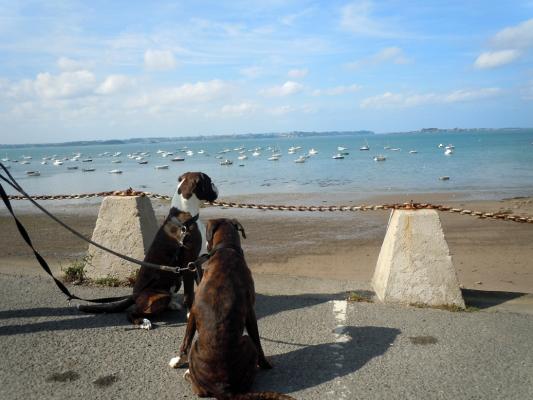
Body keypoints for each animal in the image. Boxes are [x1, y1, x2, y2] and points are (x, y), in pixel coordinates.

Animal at [170, 220, 294, 398]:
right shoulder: (250, 313)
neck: (226, 248)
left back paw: (188, 373)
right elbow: (258, 341)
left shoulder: (193, 313)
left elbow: (186, 340)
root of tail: (224, 387)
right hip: (245, 342)